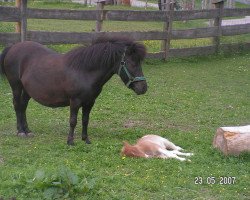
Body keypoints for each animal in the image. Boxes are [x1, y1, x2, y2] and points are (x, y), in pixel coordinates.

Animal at [0, 36, 147, 145]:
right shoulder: (75, 101)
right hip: (16, 86)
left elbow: (85, 120)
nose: (143, 88)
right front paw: (70, 141)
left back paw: (27, 130)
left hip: (27, 90)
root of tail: (13, 47)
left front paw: (85, 139)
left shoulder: (90, 102)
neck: (84, 71)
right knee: (17, 106)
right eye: (131, 63)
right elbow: (73, 121)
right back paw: (20, 131)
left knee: (23, 107)